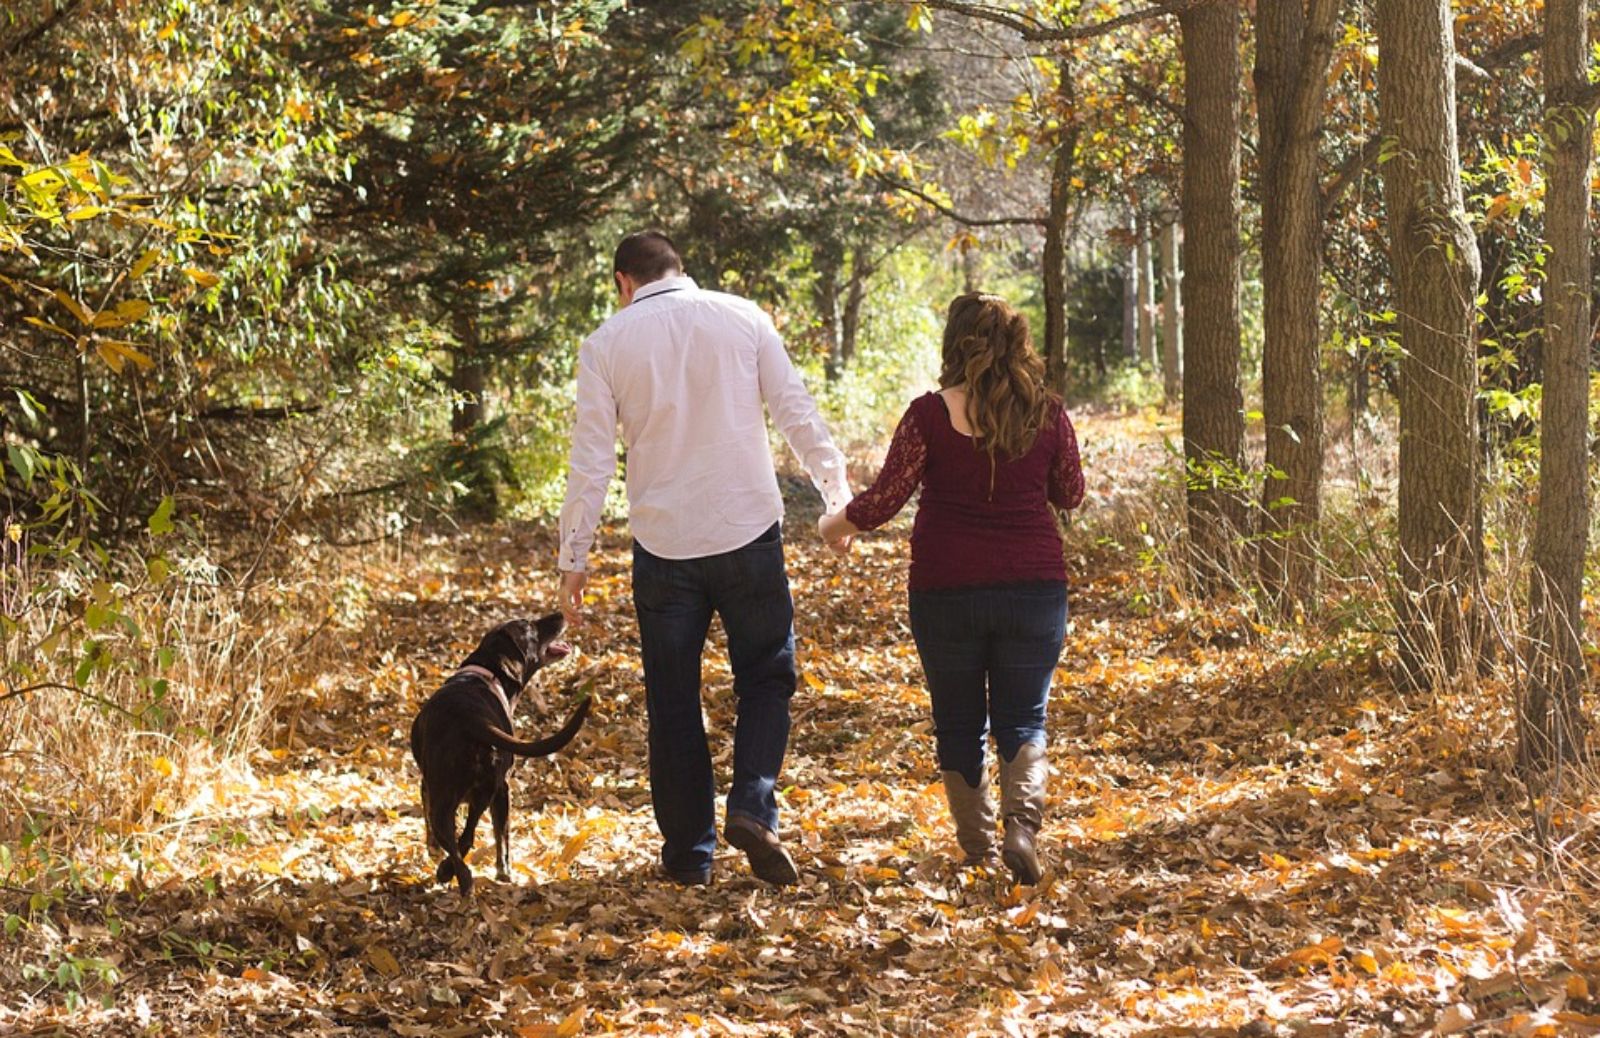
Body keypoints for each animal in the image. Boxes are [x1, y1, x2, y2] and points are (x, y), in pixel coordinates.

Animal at [409, 614, 592, 889]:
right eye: (531, 626)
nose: (560, 615)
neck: (486, 672)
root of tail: (472, 720)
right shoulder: (502, 790)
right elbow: (501, 835)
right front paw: (503, 872)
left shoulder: (426, 787)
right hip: (490, 791)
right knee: (467, 837)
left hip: (446, 798)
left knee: (454, 839)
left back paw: (451, 876)